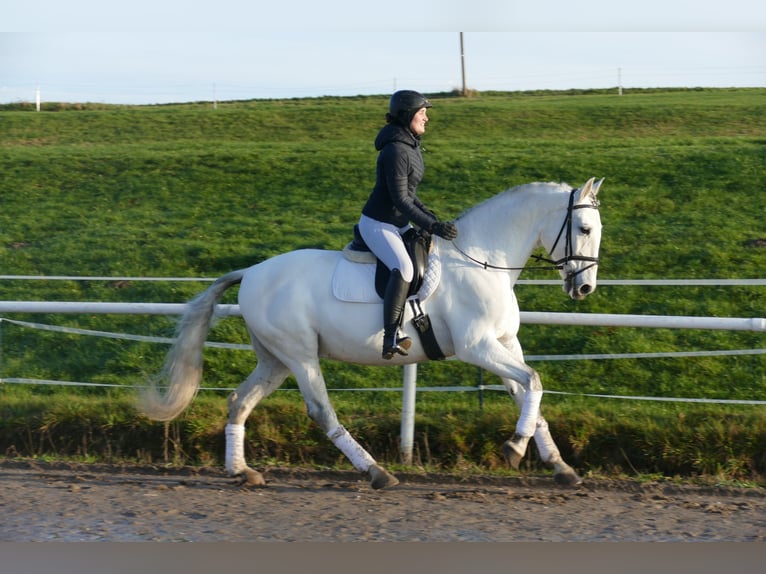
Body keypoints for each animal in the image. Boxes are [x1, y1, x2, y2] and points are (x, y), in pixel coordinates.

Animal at [138, 179, 608, 490]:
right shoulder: (477, 348)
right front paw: (514, 448)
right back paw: (376, 472)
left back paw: (241, 471)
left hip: (275, 360)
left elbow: (530, 391)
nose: (585, 288)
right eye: (584, 230)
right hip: (300, 356)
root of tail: (252, 272)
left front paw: (559, 466)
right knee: (322, 412)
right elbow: (534, 381)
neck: (482, 259)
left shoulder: (504, 343)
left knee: (239, 400)